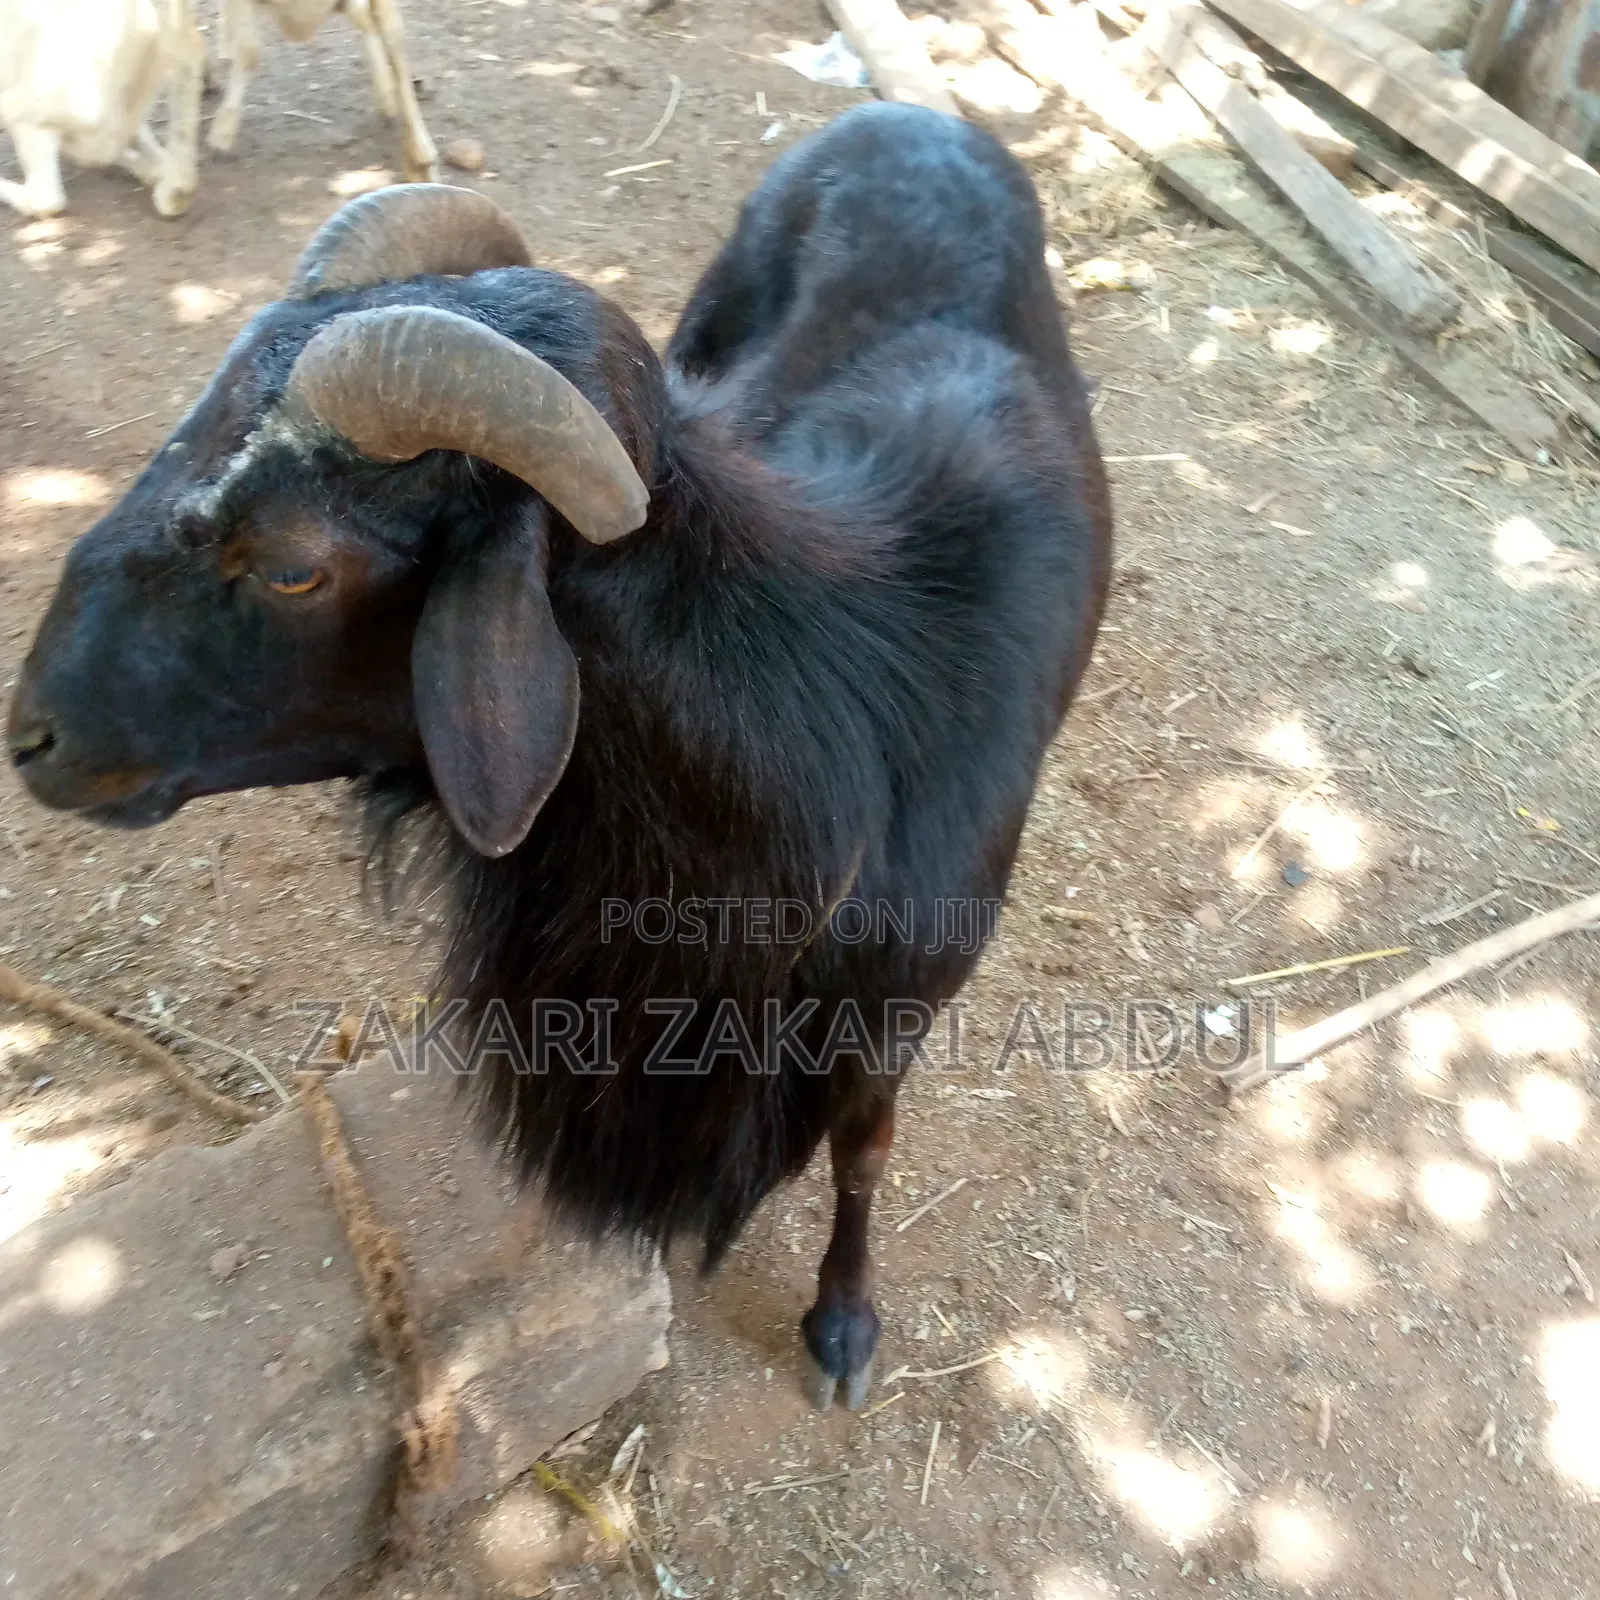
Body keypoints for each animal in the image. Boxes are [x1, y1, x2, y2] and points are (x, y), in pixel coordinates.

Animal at [7, 103, 1112, 1406]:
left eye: (291, 562)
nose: (33, 733)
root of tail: (911, 109)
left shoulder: (887, 1016)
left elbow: (863, 1155)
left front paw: (844, 1324)